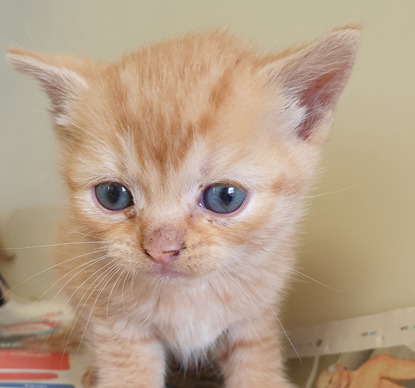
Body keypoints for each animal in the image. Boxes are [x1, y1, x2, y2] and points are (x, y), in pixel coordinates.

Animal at [8, 26, 360, 384]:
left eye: (225, 197)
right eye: (112, 195)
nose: (161, 249)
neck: (189, 297)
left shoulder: (256, 318)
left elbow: (258, 368)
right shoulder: (113, 321)